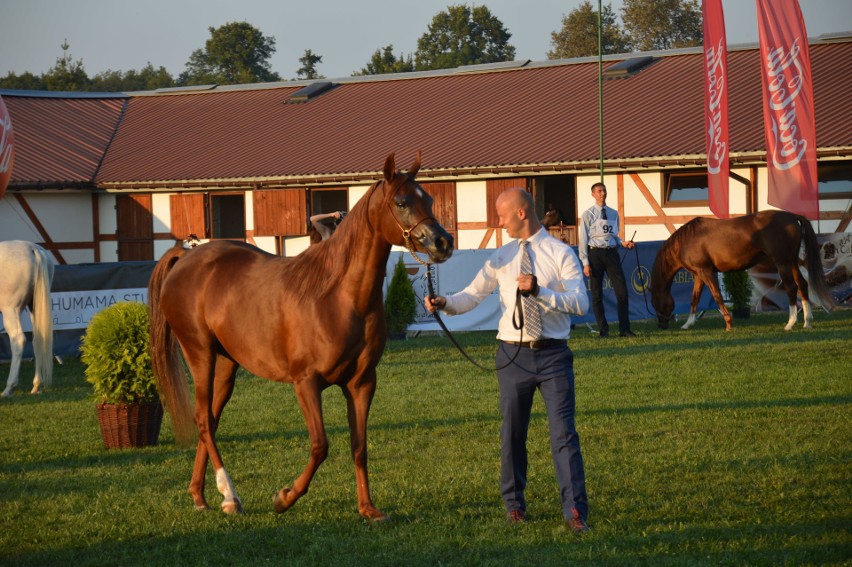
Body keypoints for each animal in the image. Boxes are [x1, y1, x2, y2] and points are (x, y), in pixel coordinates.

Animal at [0, 242, 54, 398]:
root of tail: (32, 248)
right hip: (35, 305)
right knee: (38, 340)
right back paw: (36, 385)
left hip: (10, 309)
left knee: (18, 340)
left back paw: (8, 388)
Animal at [148, 152, 452, 520]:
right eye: (402, 202)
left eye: (430, 199)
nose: (443, 242)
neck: (337, 295)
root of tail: (187, 257)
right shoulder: (306, 383)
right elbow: (320, 445)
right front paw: (285, 497)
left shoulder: (362, 383)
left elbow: (359, 445)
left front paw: (368, 508)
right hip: (199, 354)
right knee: (203, 419)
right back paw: (230, 496)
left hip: (226, 364)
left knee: (211, 419)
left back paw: (200, 495)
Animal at [652, 211, 832, 330]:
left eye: (655, 302)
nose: (662, 325)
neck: (687, 240)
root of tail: (792, 216)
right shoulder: (698, 274)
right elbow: (694, 298)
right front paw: (688, 323)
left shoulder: (705, 271)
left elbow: (717, 295)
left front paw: (728, 323)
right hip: (792, 262)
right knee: (802, 285)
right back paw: (807, 321)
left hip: (783, 263)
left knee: (791, 288)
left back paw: (790, 323)